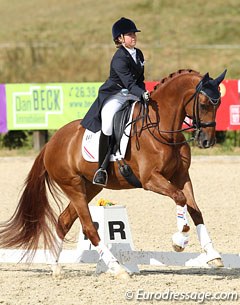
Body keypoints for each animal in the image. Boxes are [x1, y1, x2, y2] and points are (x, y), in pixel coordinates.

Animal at [0, 69, 227, 278]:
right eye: (204, 104)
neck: (161, 128)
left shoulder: (181, 176)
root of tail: (51, 143)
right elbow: (180, 198)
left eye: (218, 105)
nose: (207, 141)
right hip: (73, 186)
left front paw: (213, 254)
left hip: (90, 187)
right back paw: (117, 268)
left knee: (63, 221)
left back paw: (55, 267)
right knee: (89, 228)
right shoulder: (150, 179)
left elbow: (195, 210)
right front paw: (179, 240)